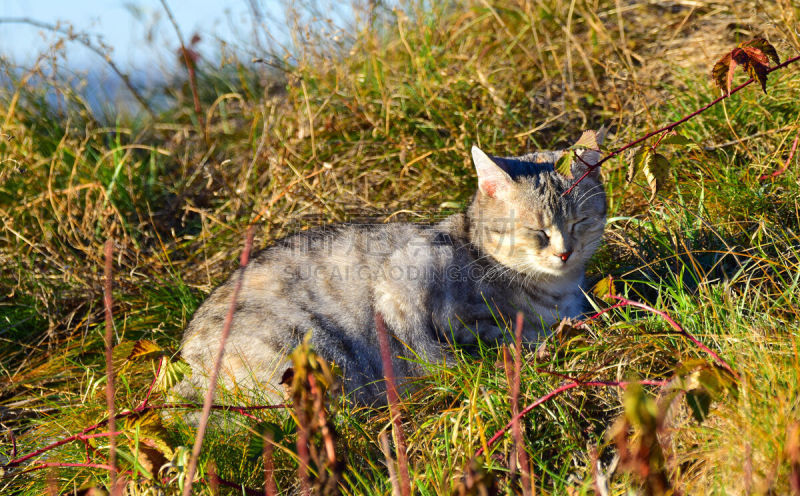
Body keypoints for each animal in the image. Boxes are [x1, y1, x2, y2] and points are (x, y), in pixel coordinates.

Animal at [175, 131, 608, 406]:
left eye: (579, 222)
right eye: (537, 231)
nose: (565, 253)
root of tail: (187, 362)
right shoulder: (411, 278)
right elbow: (487, 338)